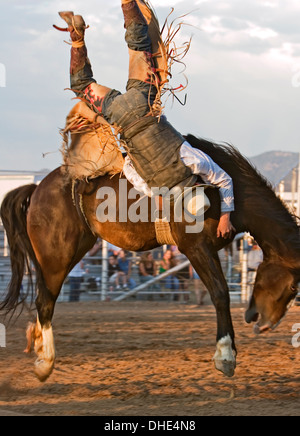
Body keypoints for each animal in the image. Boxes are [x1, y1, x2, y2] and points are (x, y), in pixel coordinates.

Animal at [0, 134, 300, 382]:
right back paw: (45, 363)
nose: (261, 321)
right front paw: (226, 356)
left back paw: (36, 342)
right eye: (293, 285)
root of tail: (37, 189)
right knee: (45, 301)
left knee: (44, 297)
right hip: (57, 255)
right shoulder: (194, 247)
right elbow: (220, 292)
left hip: (73, 250)